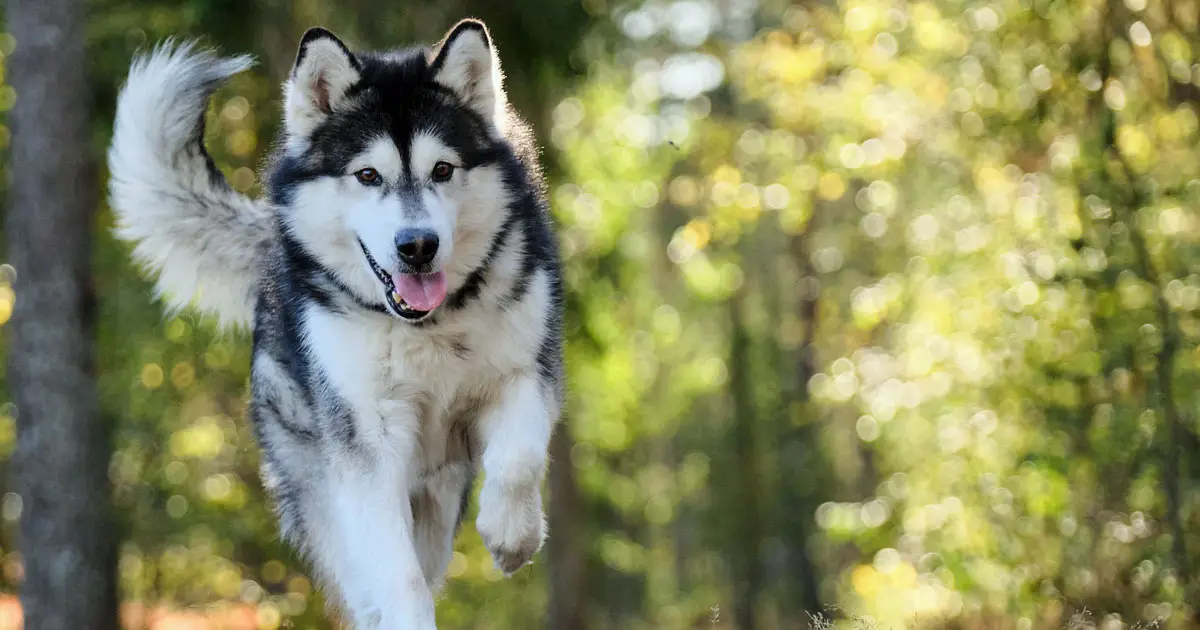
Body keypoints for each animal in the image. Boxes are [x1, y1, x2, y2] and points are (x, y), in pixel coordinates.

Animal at [105, 18, 564, 624]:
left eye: (442, 170)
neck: (428, 327)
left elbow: (519, 460)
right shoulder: (367, 443)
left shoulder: (526, 373)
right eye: (367, 175)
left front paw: (513, 536)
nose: (418, 246)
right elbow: (398, 577)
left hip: (437, 498)